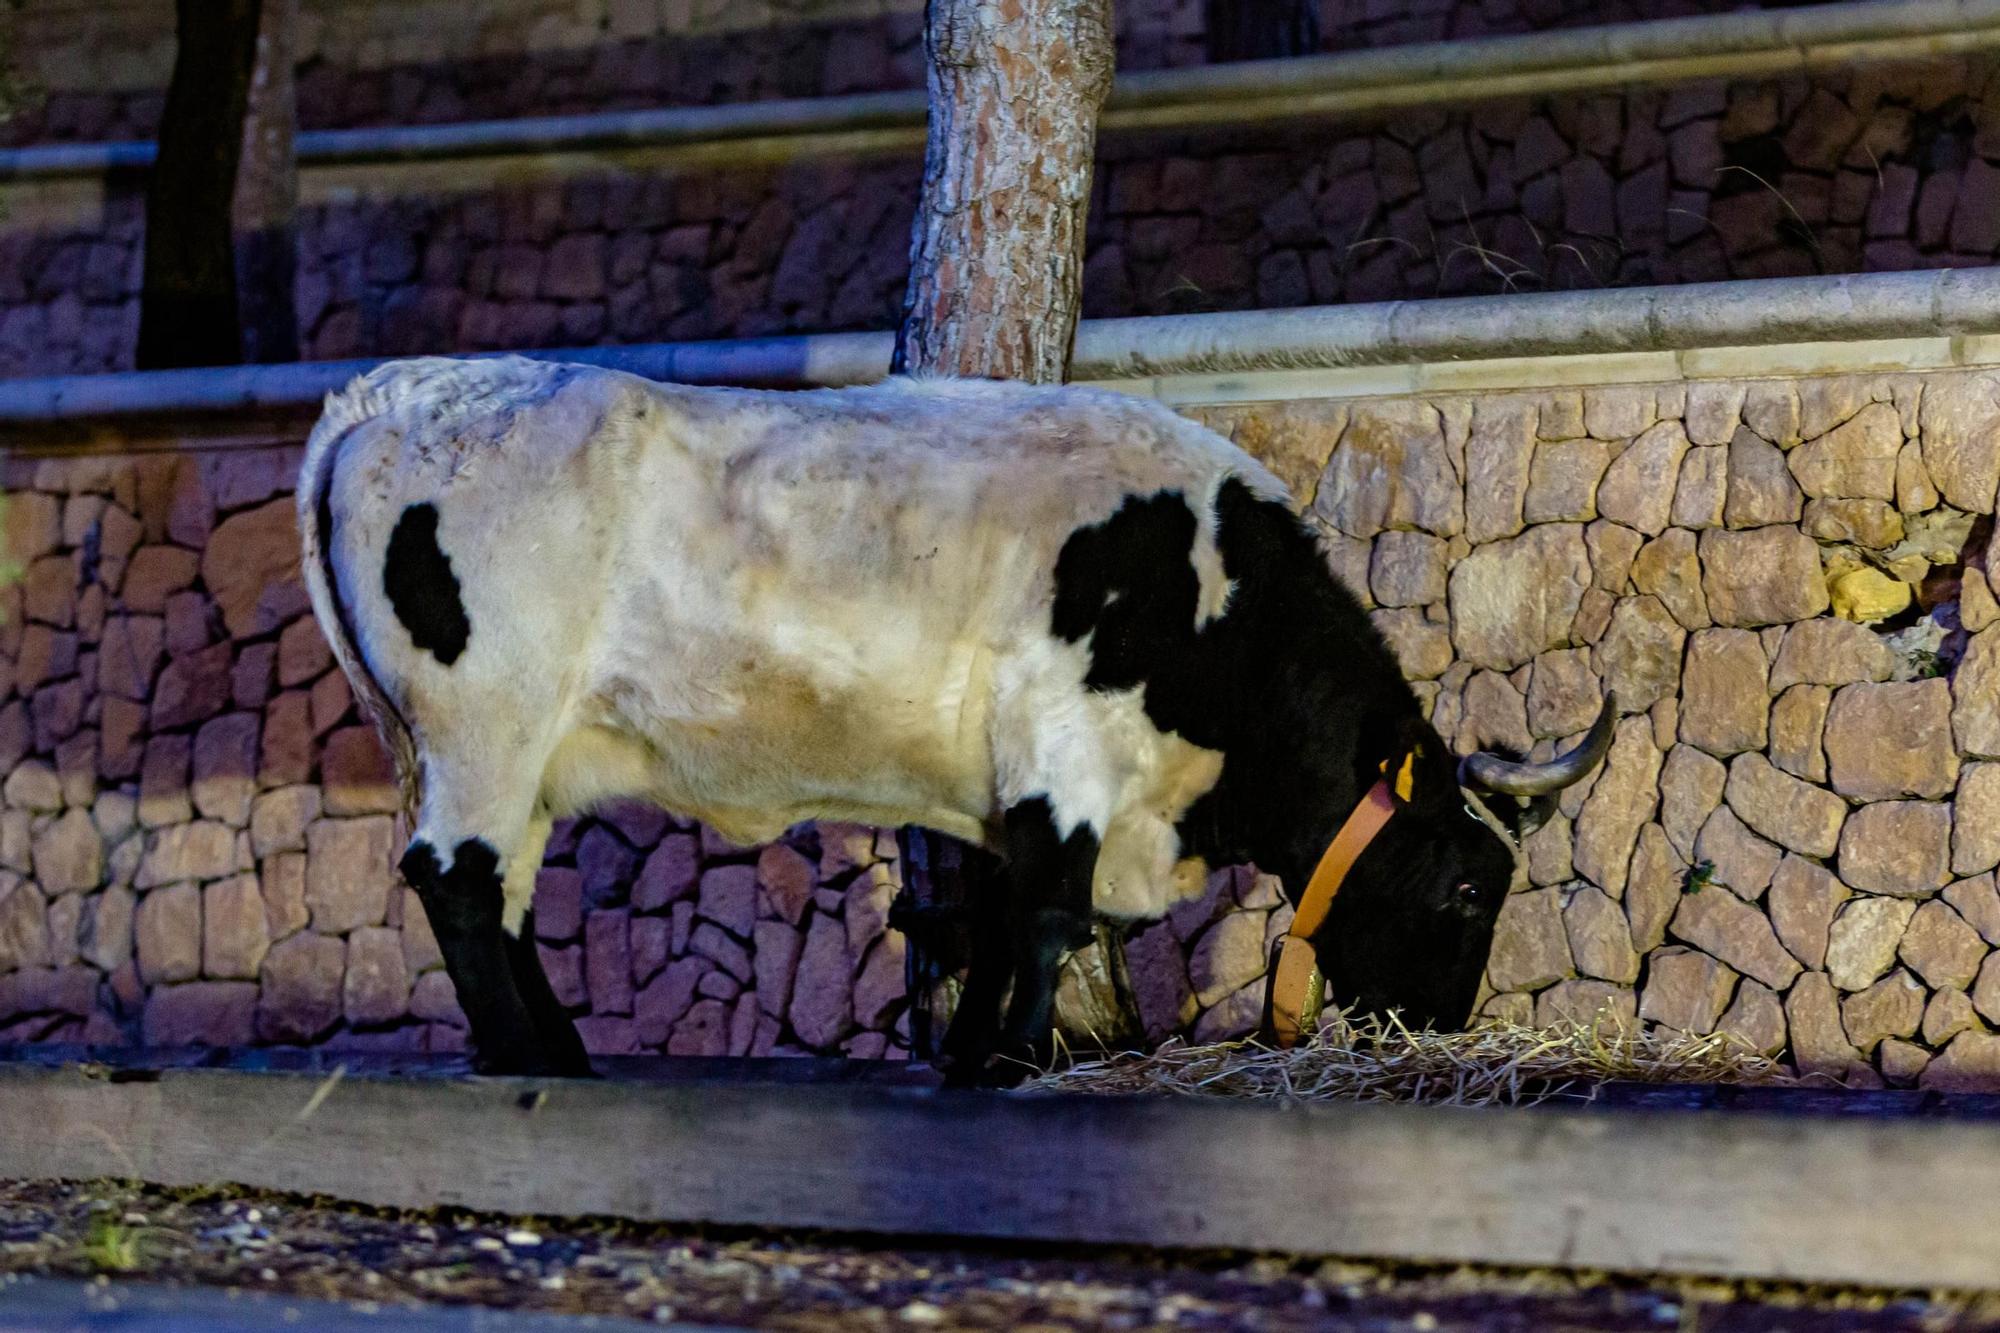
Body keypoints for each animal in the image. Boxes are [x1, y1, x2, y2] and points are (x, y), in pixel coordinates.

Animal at [300, 352, 1608, 1080]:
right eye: (1467, 887)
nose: (1442, 1022)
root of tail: (402, 388)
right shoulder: (1064, 749)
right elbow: (1046, 914)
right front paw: (1013, 1062)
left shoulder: (1004, 785)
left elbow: (993, 912)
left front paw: (981, 1047)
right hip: (486, 728)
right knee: (458, 884)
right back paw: (528, 1059)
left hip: (518, 760)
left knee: (507, 896)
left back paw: (561, 1054)